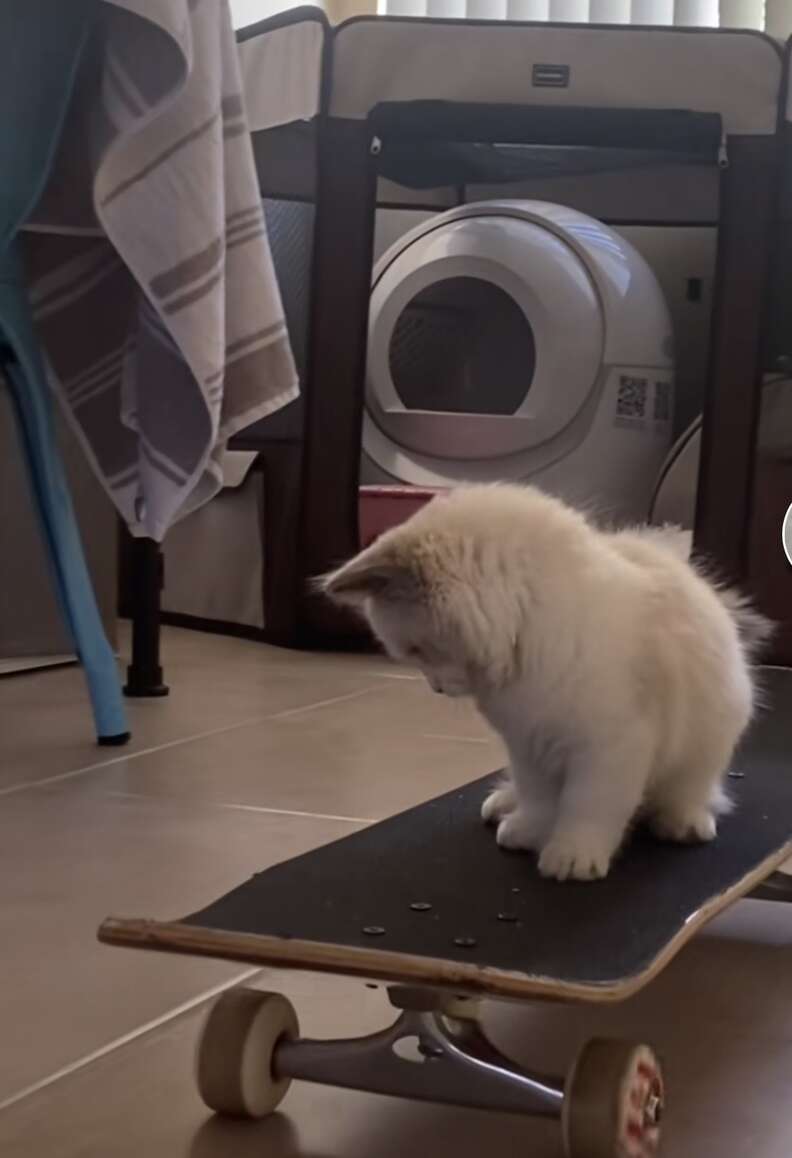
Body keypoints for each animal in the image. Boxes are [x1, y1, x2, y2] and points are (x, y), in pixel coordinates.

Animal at [319, 484, 768, 880]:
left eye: (416, 651)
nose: (436, 688)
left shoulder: (608, 747)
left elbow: (588, 807)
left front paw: (570, 859)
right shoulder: (527, 743)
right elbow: (540, 801)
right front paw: (526, 834)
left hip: (705, 745)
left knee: (691, 792)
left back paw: (684, 825)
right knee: (519, 792)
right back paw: (502, 806)